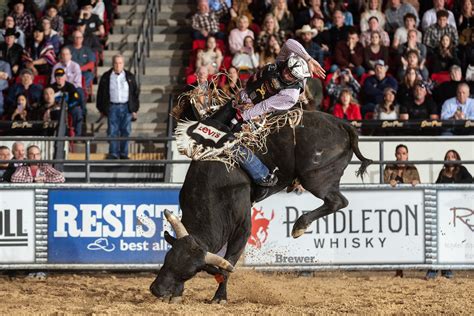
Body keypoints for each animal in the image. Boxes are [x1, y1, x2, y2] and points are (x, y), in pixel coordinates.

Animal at [150, 110, 372, 304]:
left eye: (190, 272)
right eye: (168, 258)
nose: (157, 290)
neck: (214, 182)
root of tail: (341, 124)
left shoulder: (242, 227)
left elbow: (227, 265)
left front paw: (220, 297)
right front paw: (177, 294)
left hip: (317, 177)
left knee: (338, 201)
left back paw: (299, 225)